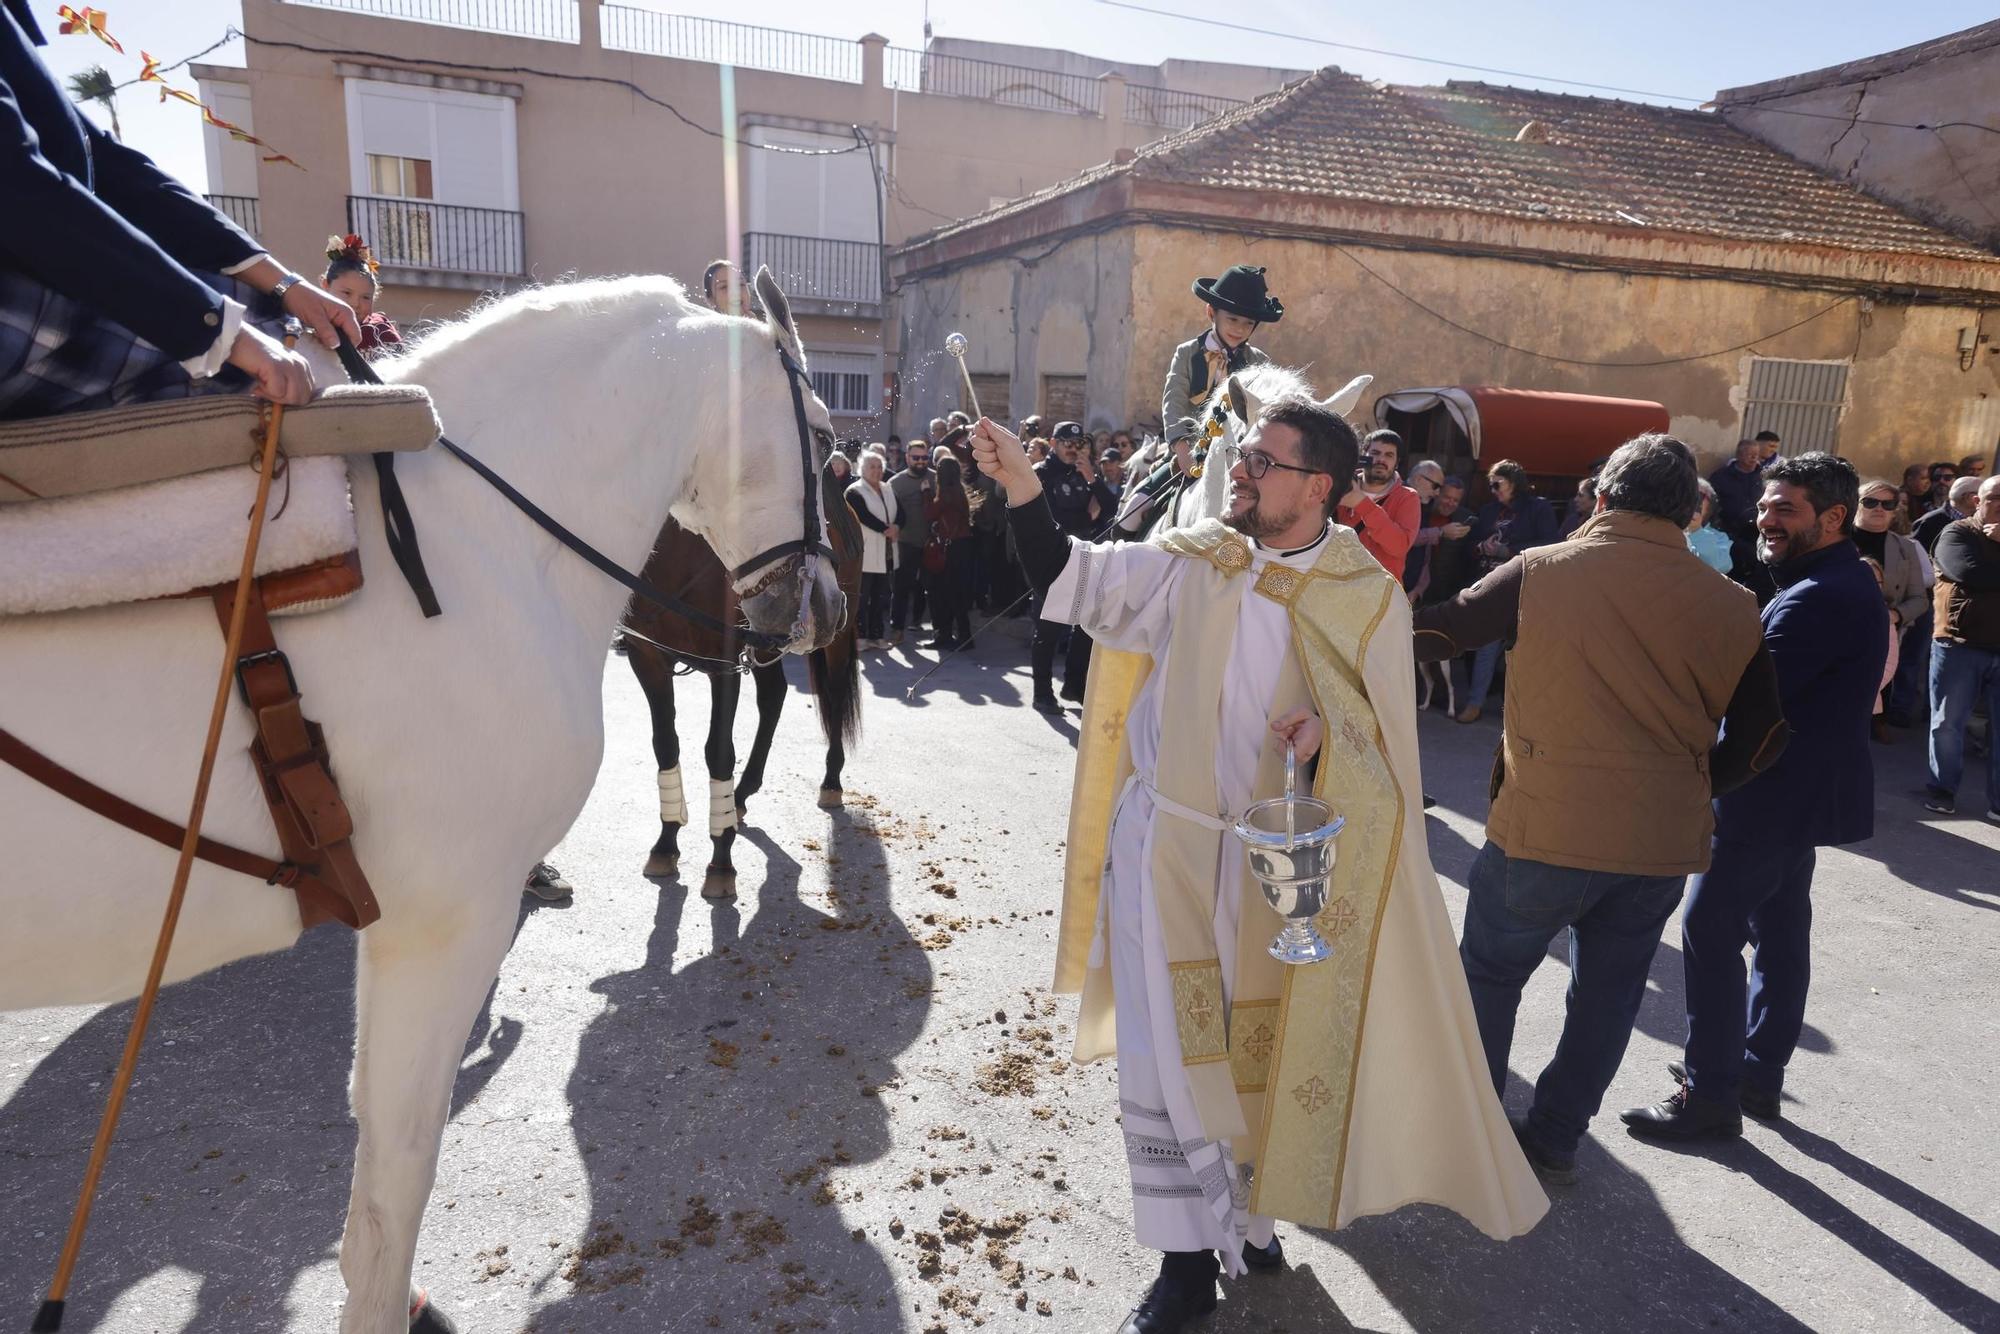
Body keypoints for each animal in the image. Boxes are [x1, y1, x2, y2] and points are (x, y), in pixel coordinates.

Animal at [624, 460, 860, 896]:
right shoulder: (644, 655)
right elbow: (665, 744)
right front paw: (667, 841)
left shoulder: (722, 663)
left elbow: (718, 752)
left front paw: (721, 860)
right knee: (774, 695)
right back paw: (743, 792)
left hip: (836, 632)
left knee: (834, 695)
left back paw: (831, 780)